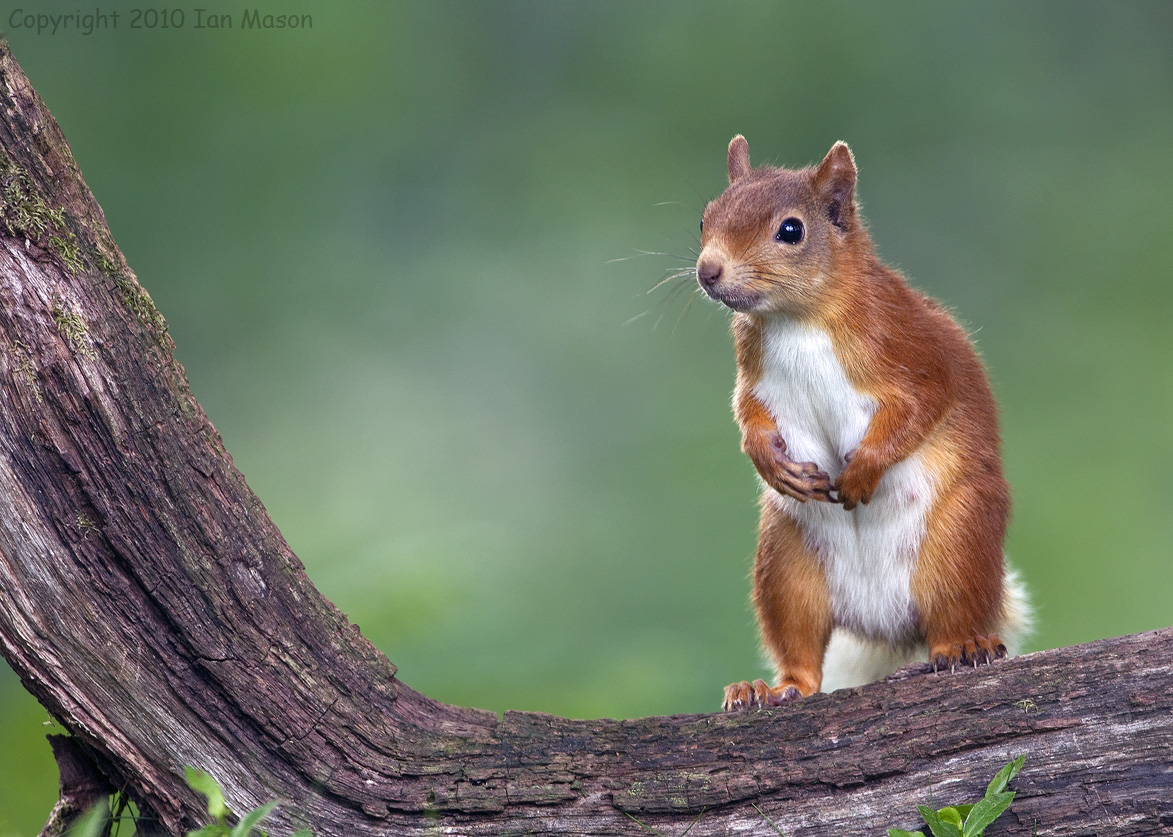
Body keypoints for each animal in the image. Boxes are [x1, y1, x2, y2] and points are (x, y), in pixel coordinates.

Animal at [695, 136, 1030, 710]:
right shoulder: (754, 375)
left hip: (958, 541)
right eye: (704, 217)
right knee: (800, 651)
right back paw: (772, 688)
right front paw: (770, 463)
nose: (707, 272)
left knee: (953, 613)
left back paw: (964, 645)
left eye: (791, 230)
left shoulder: (909, 346)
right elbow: (747, 415)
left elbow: (920, 407)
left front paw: (862, 471)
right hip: (788, 565)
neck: (797, 319)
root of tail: (880, 622)